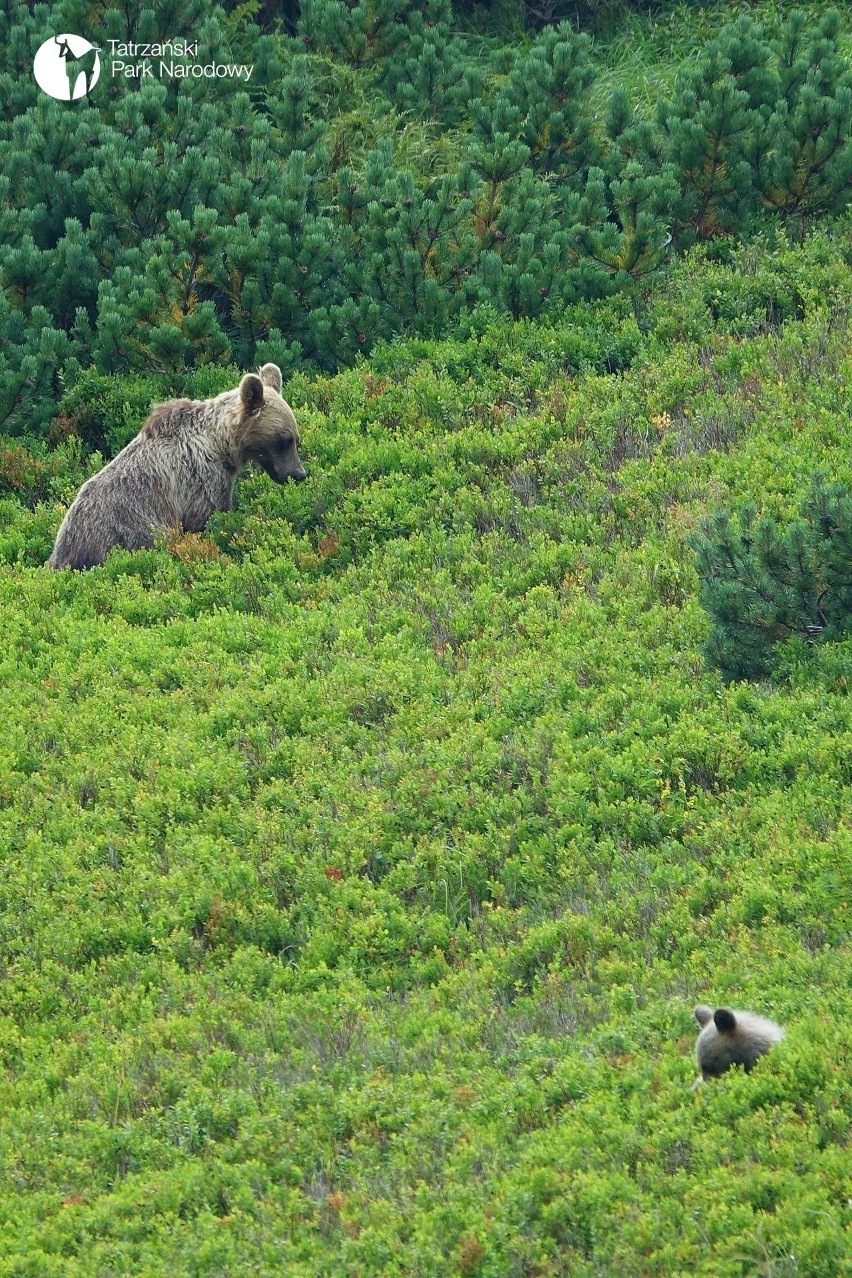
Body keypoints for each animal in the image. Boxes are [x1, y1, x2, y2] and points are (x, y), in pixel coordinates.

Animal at [47, 368, 306, 572]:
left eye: (295, 437)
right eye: (284, 439)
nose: (299, 474)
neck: (221, 446)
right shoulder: (202, 480)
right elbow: (208, 518)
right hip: (124, 530)